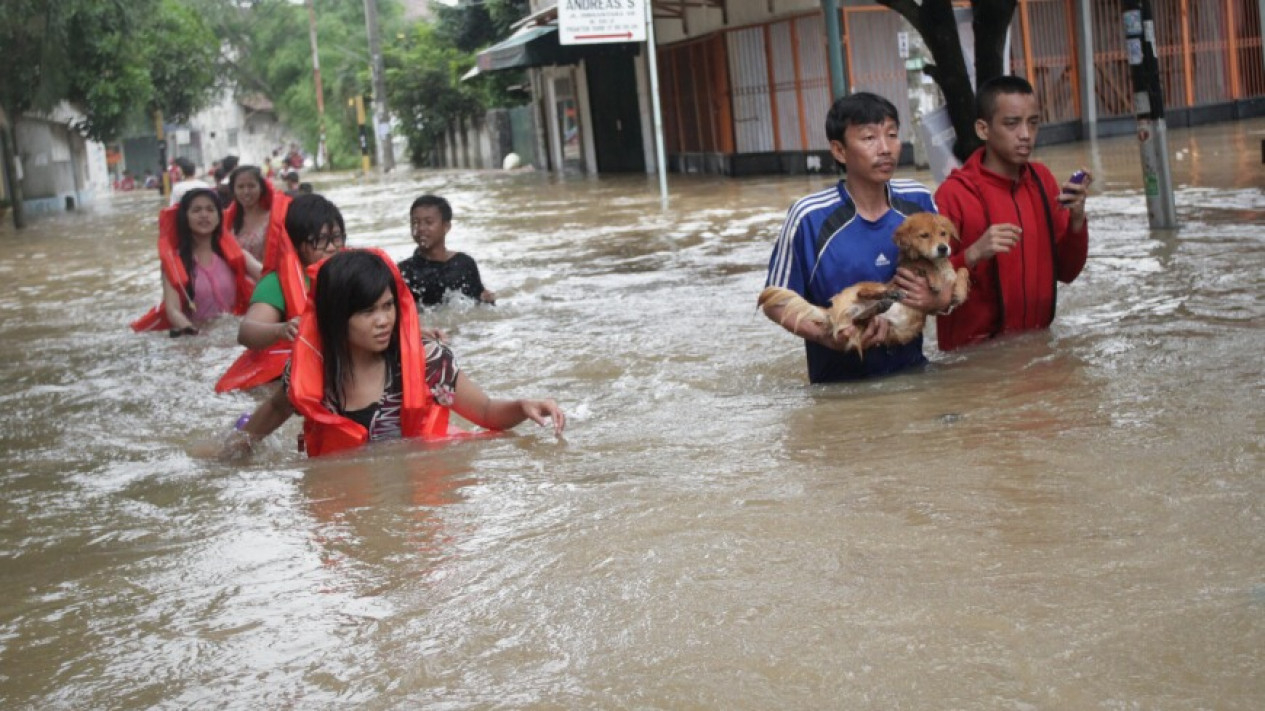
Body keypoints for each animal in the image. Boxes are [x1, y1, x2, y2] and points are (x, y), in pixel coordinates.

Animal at [759, 210, 966, 354]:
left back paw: (879, 306)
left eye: (943, 233)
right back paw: (888, 295)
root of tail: (830, 313)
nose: (943, 248)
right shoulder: (907, 268)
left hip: (864, 327)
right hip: (870, 285)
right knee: (864, 293)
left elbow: (962, 274)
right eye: (924, 236)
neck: (940, 265)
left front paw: (958, 291)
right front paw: (935, 279)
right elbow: (923, 262)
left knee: (861, 319)